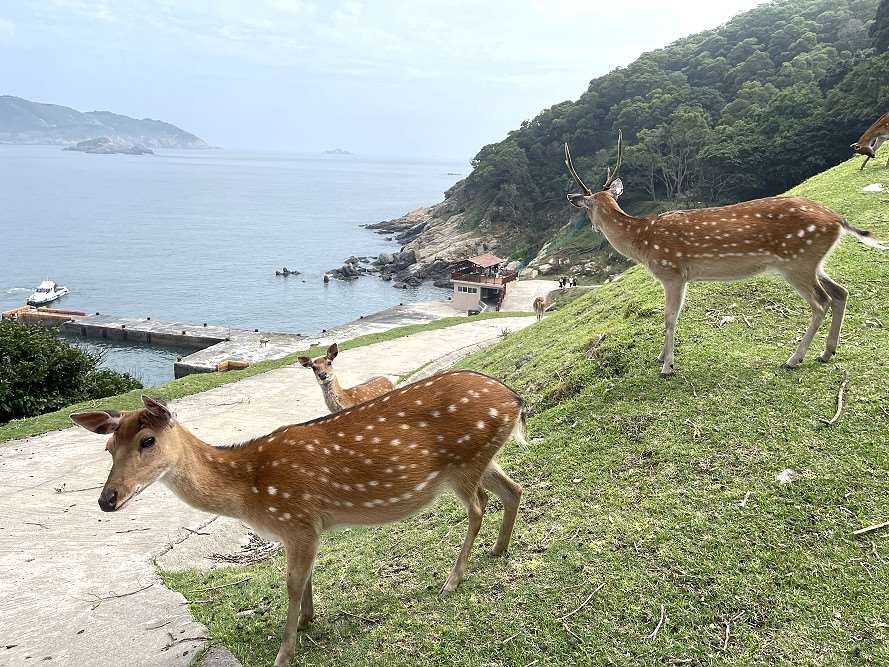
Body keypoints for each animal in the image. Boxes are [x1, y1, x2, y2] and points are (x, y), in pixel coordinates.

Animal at [70, 373, 525, 667]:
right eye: (108, 448)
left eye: (147, 441)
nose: (107, 500)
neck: (249, 491)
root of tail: (516, 401)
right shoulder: (308, 526)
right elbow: (306, 577)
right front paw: (308, 621)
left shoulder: (297, 518)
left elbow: (291, 583)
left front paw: (284, 652)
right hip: (480, 458)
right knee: (513, 488)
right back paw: (498, 550)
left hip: (463, 461)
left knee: (479, 505)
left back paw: (452, 580)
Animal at [565, 131, 887, 377]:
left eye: (587, 208)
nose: (591, 225)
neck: (643, 243)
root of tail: (837, 219)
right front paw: (661, 357)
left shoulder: (673, 273)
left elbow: (670, 317)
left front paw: (667, 366)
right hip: (812, 262)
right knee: (840, 292)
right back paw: (826, 352)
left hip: (797, 263)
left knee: (821, 302)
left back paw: (793, 359)